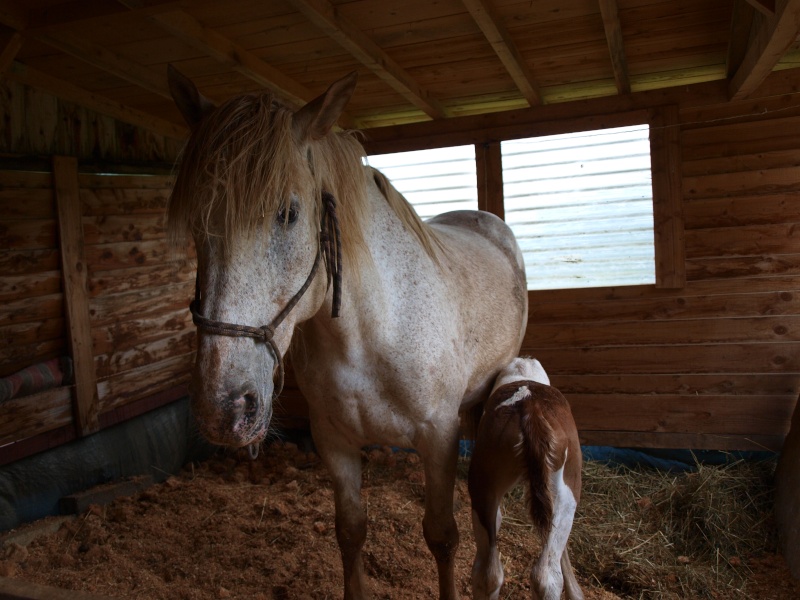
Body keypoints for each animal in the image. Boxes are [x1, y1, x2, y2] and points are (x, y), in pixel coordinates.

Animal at [166, 67, 528, 600]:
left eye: (288, 213)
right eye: (197, 222)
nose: (223, 407)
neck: (369, 334)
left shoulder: (437, 435)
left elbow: (442, 536)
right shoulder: (333, 440)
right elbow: (351, 530)